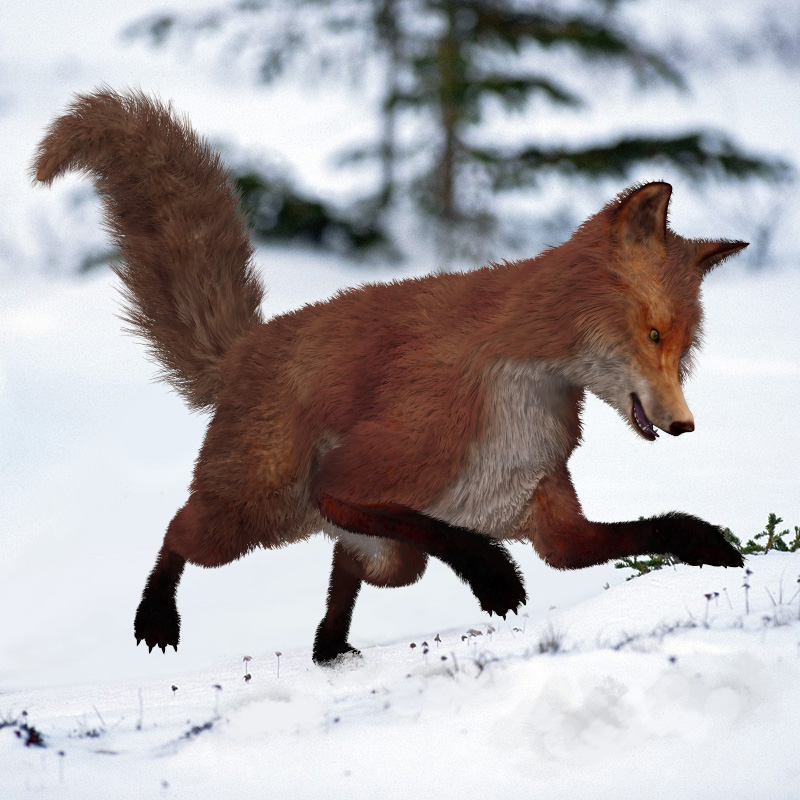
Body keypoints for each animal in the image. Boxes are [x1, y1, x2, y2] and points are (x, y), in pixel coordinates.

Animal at [32, 89, 746, 664]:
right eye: (652, 336)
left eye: (685, 351)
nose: (684, 424)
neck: (519, 388)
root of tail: (247, 346)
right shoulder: (354, 475)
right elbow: (433, 524)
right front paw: (492, 575)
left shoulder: (545, 519)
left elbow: (651, 528)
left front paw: (712, 544)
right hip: (254, 514)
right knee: (179, 530)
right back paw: (156, 619)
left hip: (386, 564)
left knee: (343, 574)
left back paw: (330, 650)